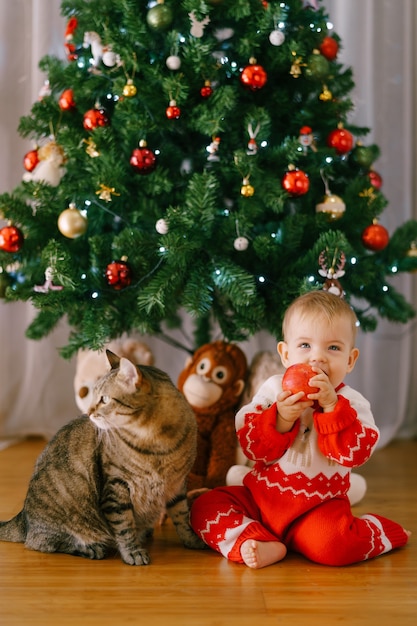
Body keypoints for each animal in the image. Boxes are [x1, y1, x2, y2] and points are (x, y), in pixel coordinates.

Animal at [0, 348, 203, 564]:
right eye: (93, 395)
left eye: (104, 399)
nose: (88, 412)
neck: (158, 441)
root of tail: (23, 517)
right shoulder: (116, 487)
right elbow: (124, 527)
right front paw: (133, 553)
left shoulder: (177, 484)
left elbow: (183, 516)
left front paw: (192, 540)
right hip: (61, 524)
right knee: (42, 543)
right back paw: (92, 549)